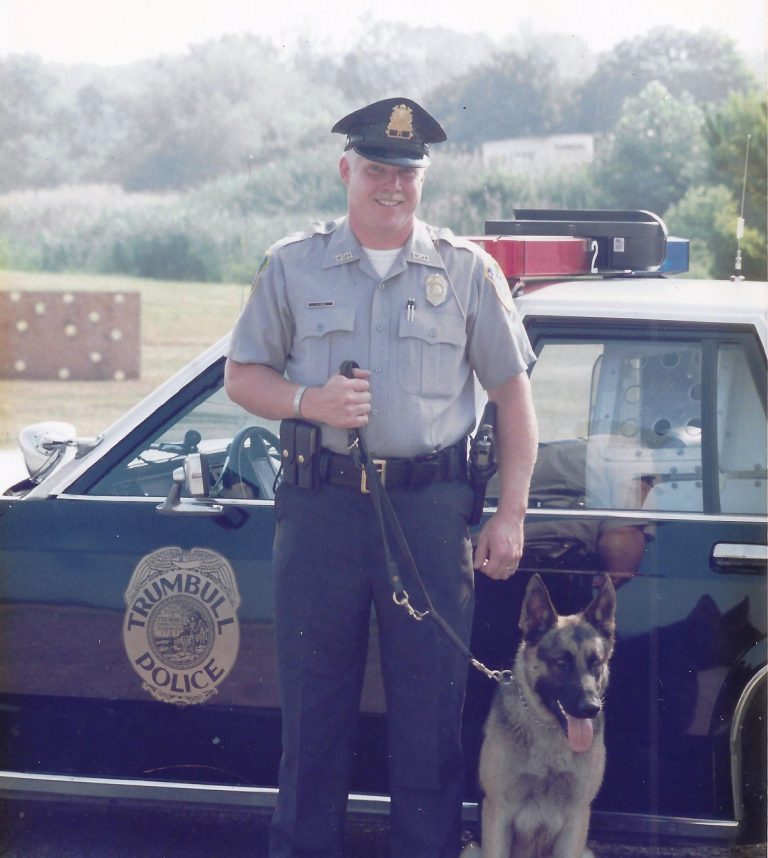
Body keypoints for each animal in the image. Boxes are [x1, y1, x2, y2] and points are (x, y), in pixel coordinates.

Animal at [462, 573, 616, 858]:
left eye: (596, 662)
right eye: (561, 661)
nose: (591, 708)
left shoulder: (576, 819)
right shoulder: (498, 813)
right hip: (470, 849)